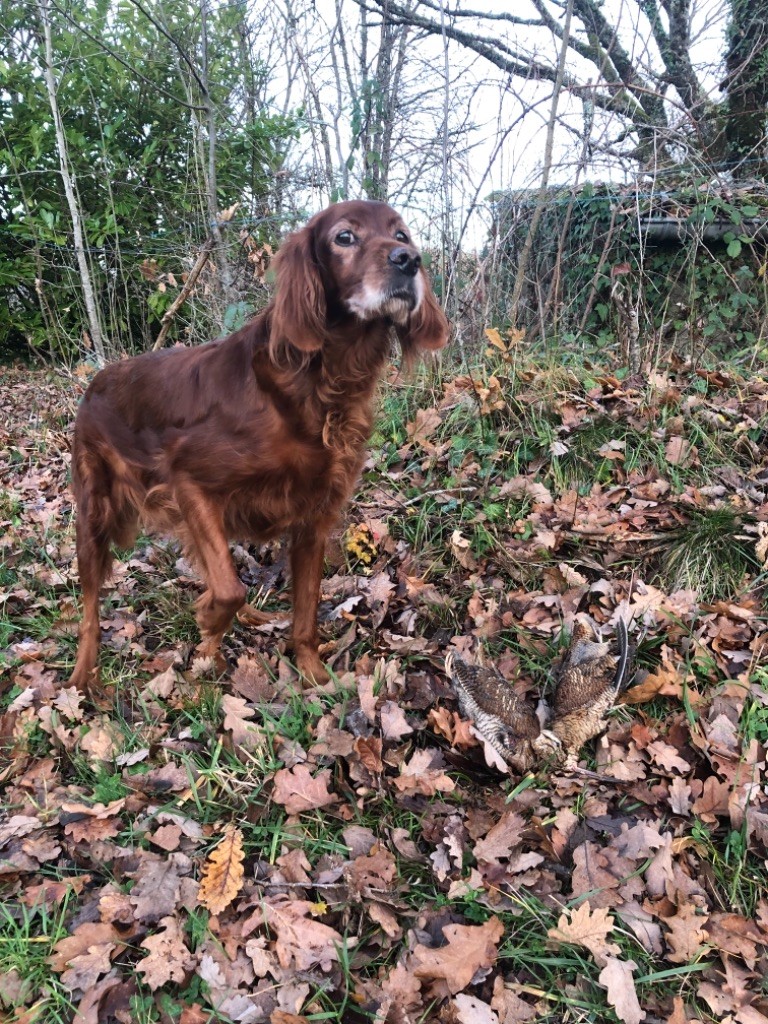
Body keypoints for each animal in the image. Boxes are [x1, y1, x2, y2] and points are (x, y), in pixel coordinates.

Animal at [70, 197, 450, 696]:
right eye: (344, 237)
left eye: (401, 234)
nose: (409, 261)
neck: (322, 382)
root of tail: (97, 378)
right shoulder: (190, 481)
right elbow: (229, 589)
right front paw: (210, 623)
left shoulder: (312, 519)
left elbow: (303, 611)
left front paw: (313, 676)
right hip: (95, 513)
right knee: (90, 609)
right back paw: (82, 677)